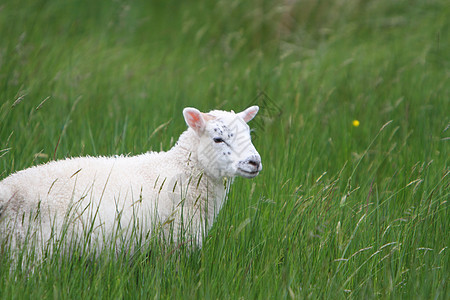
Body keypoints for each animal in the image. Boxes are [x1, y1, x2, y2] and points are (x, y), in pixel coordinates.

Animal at [0, 106, 262, 252]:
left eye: (249, 135)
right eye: (218, 139)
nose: (254, 162)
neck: (182, 170)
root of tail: (7, 190)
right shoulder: (173, 245)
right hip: (27, 251)